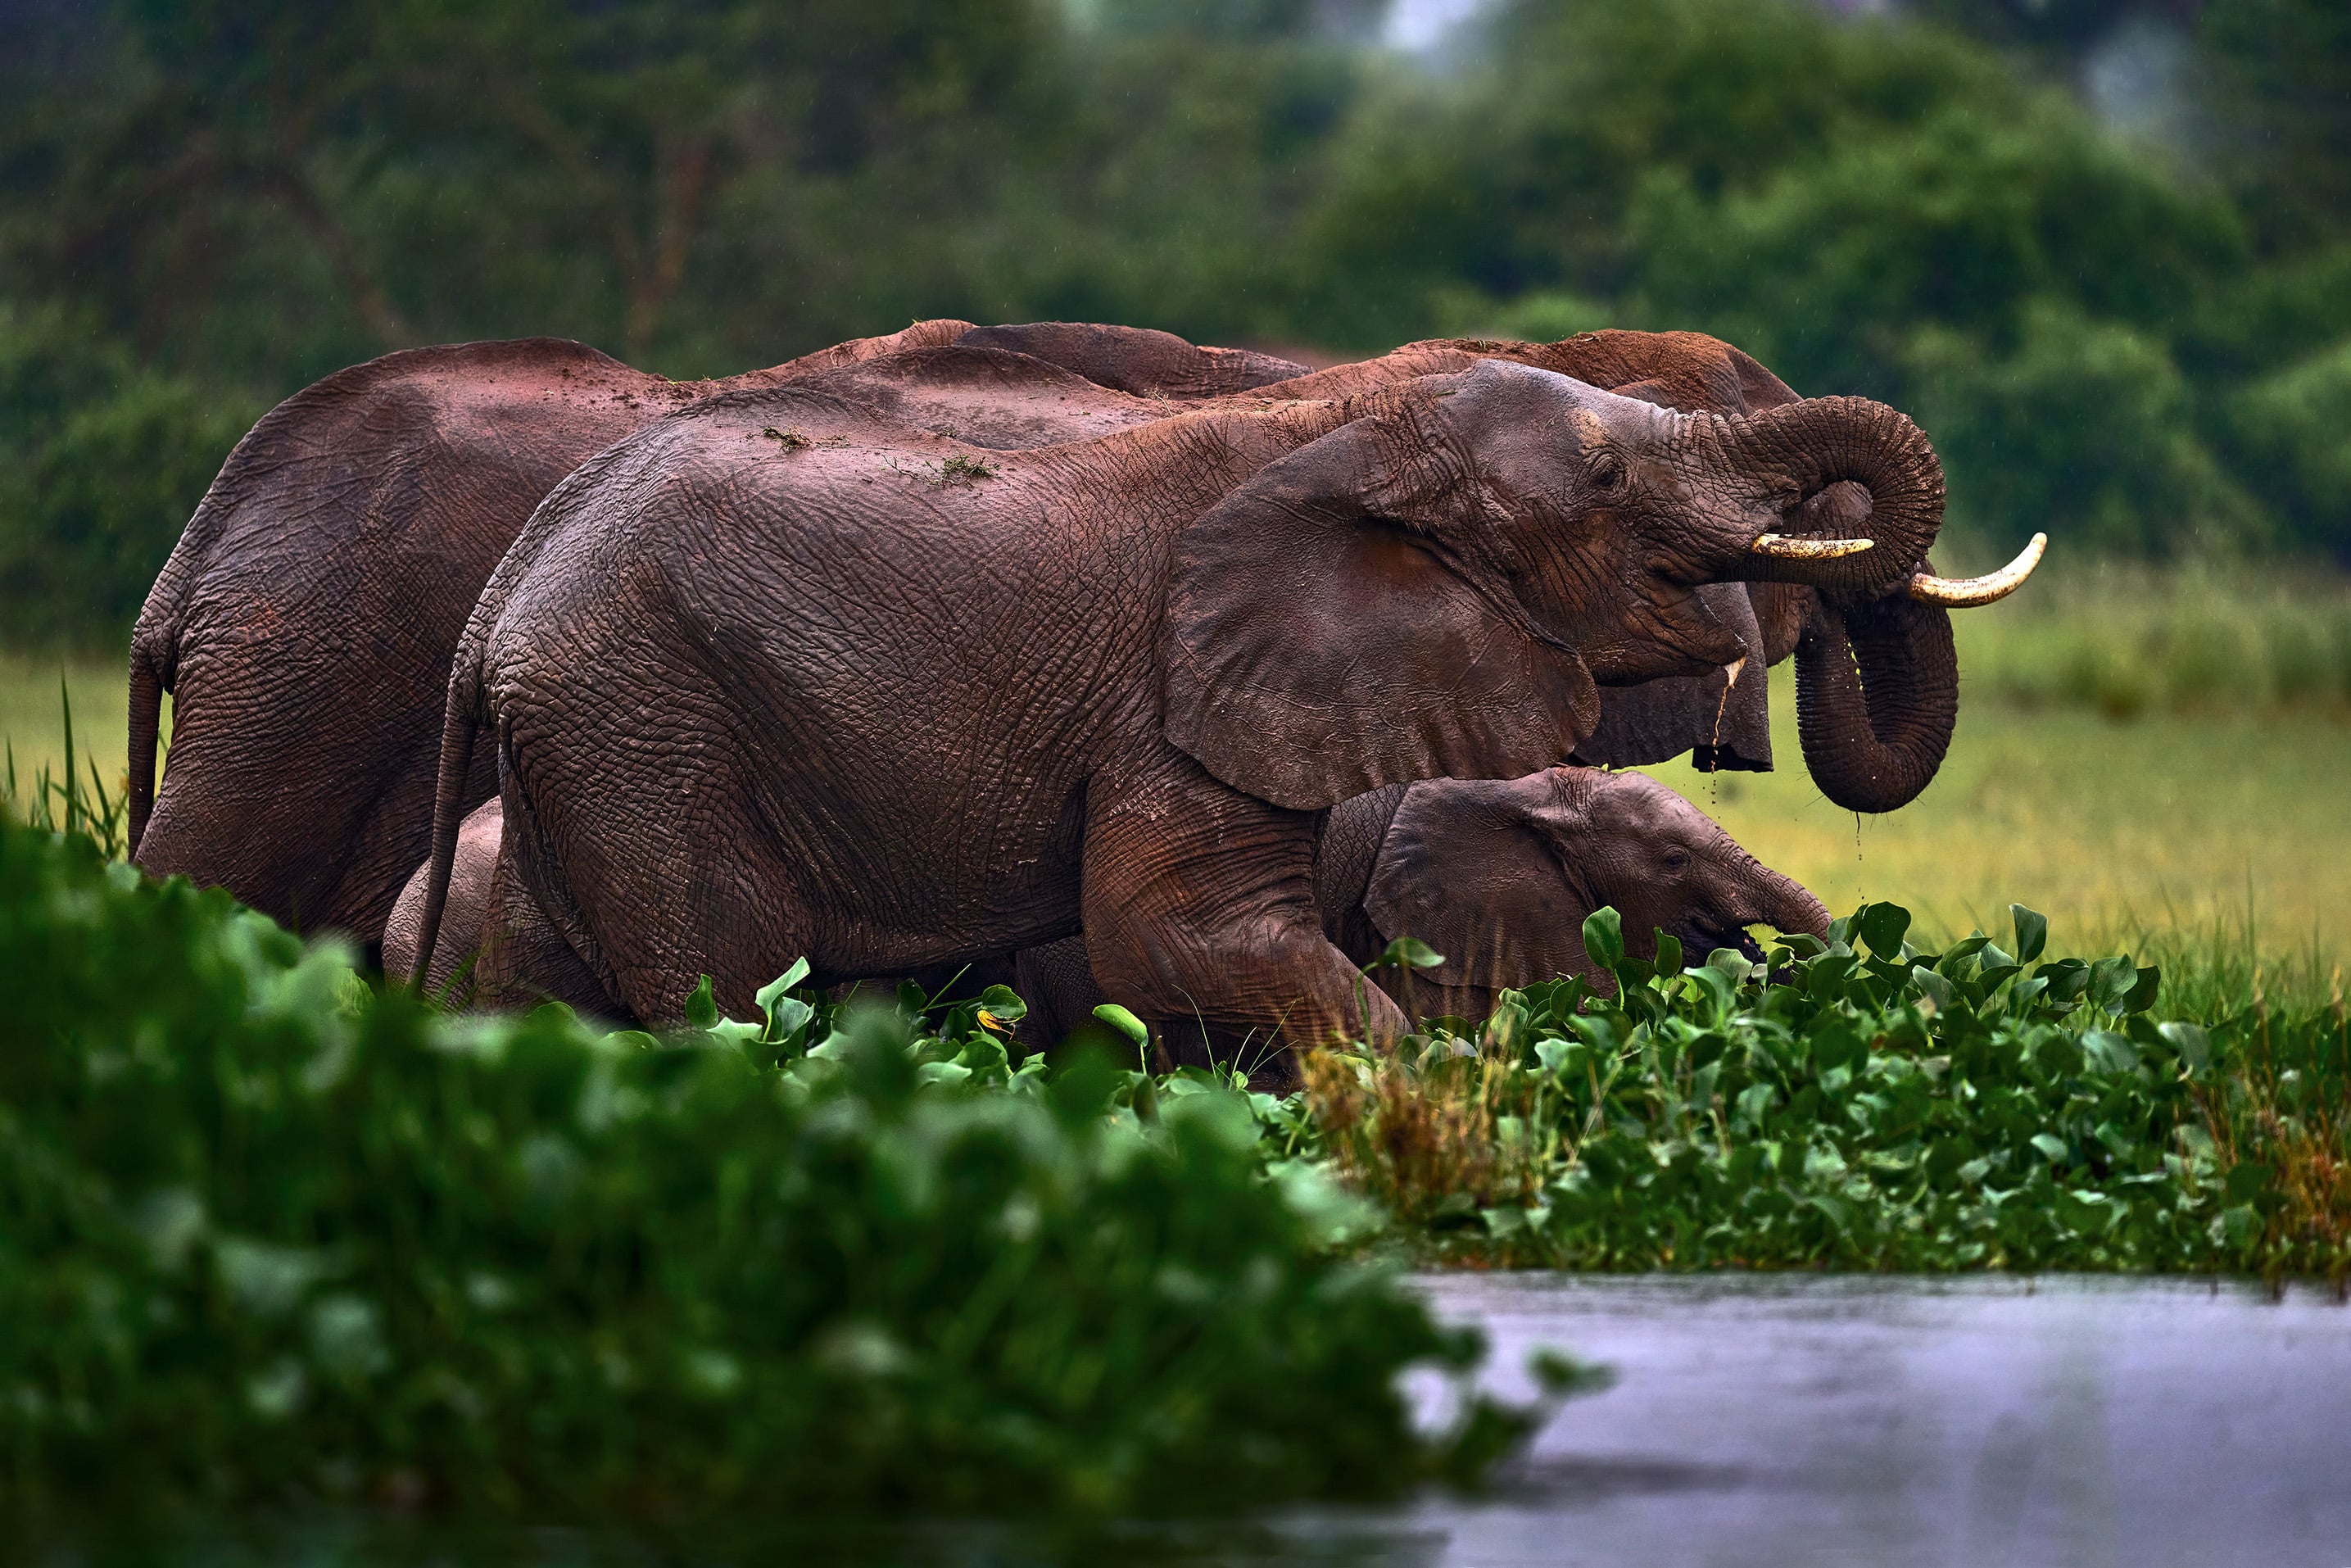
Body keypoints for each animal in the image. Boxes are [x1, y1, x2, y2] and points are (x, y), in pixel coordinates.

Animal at [409, 356, 1946, 1051]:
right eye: (1609, 479)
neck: (1350, 429)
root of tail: (498, 600)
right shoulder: (1173, 693)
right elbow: (1176, 938)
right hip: (644, 735)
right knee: (727, 1000)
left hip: (582, 755)